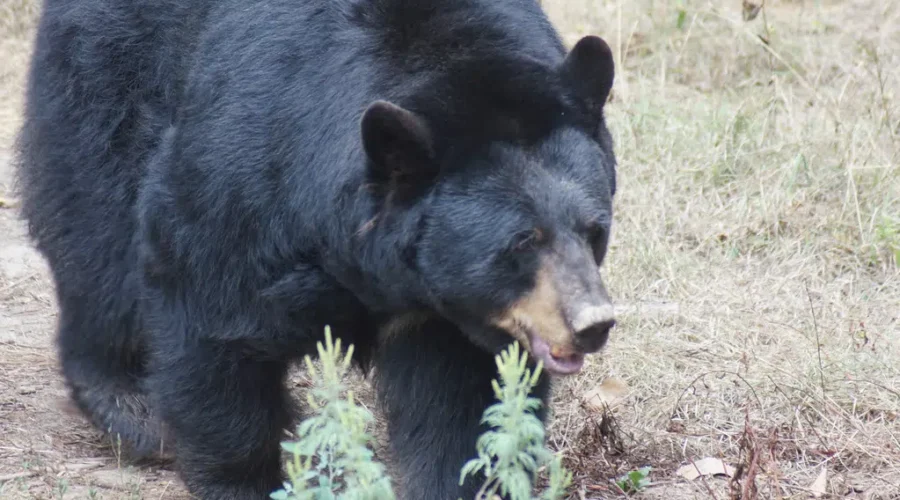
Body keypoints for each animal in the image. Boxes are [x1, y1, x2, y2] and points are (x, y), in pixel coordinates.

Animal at [15, 0, 618, 498]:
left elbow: (460, 399)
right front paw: (245, 480)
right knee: (98, 230)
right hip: (108, 73)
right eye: (523, 241)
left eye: (594, 230)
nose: (593, 324)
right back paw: (129, 405)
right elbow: (209, 310)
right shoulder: (251, 169)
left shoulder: (446, 313)